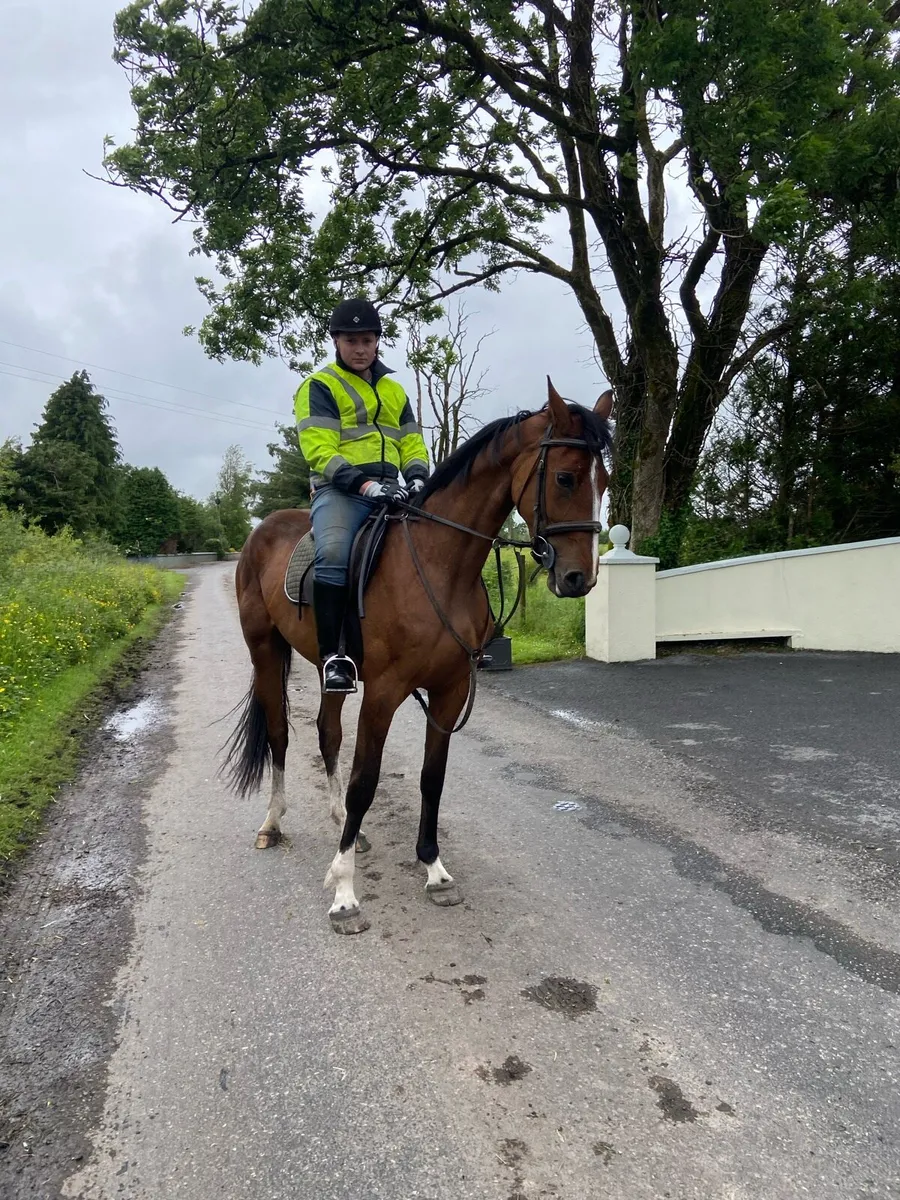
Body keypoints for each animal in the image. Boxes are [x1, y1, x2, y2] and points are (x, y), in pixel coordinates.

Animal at [225, 379, 613, 933]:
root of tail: (264, 528)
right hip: (264, 651)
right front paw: (344, 894)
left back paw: (343, 824)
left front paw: (433, 869)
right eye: (564, 477)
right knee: (280, 734)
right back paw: (273, 824)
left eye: (605, 480)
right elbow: (365, 782)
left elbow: (433, 778)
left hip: (330, 670)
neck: (437, 565)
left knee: (326, 732)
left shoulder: (449, 690)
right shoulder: (383, 694)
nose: (580, 578)